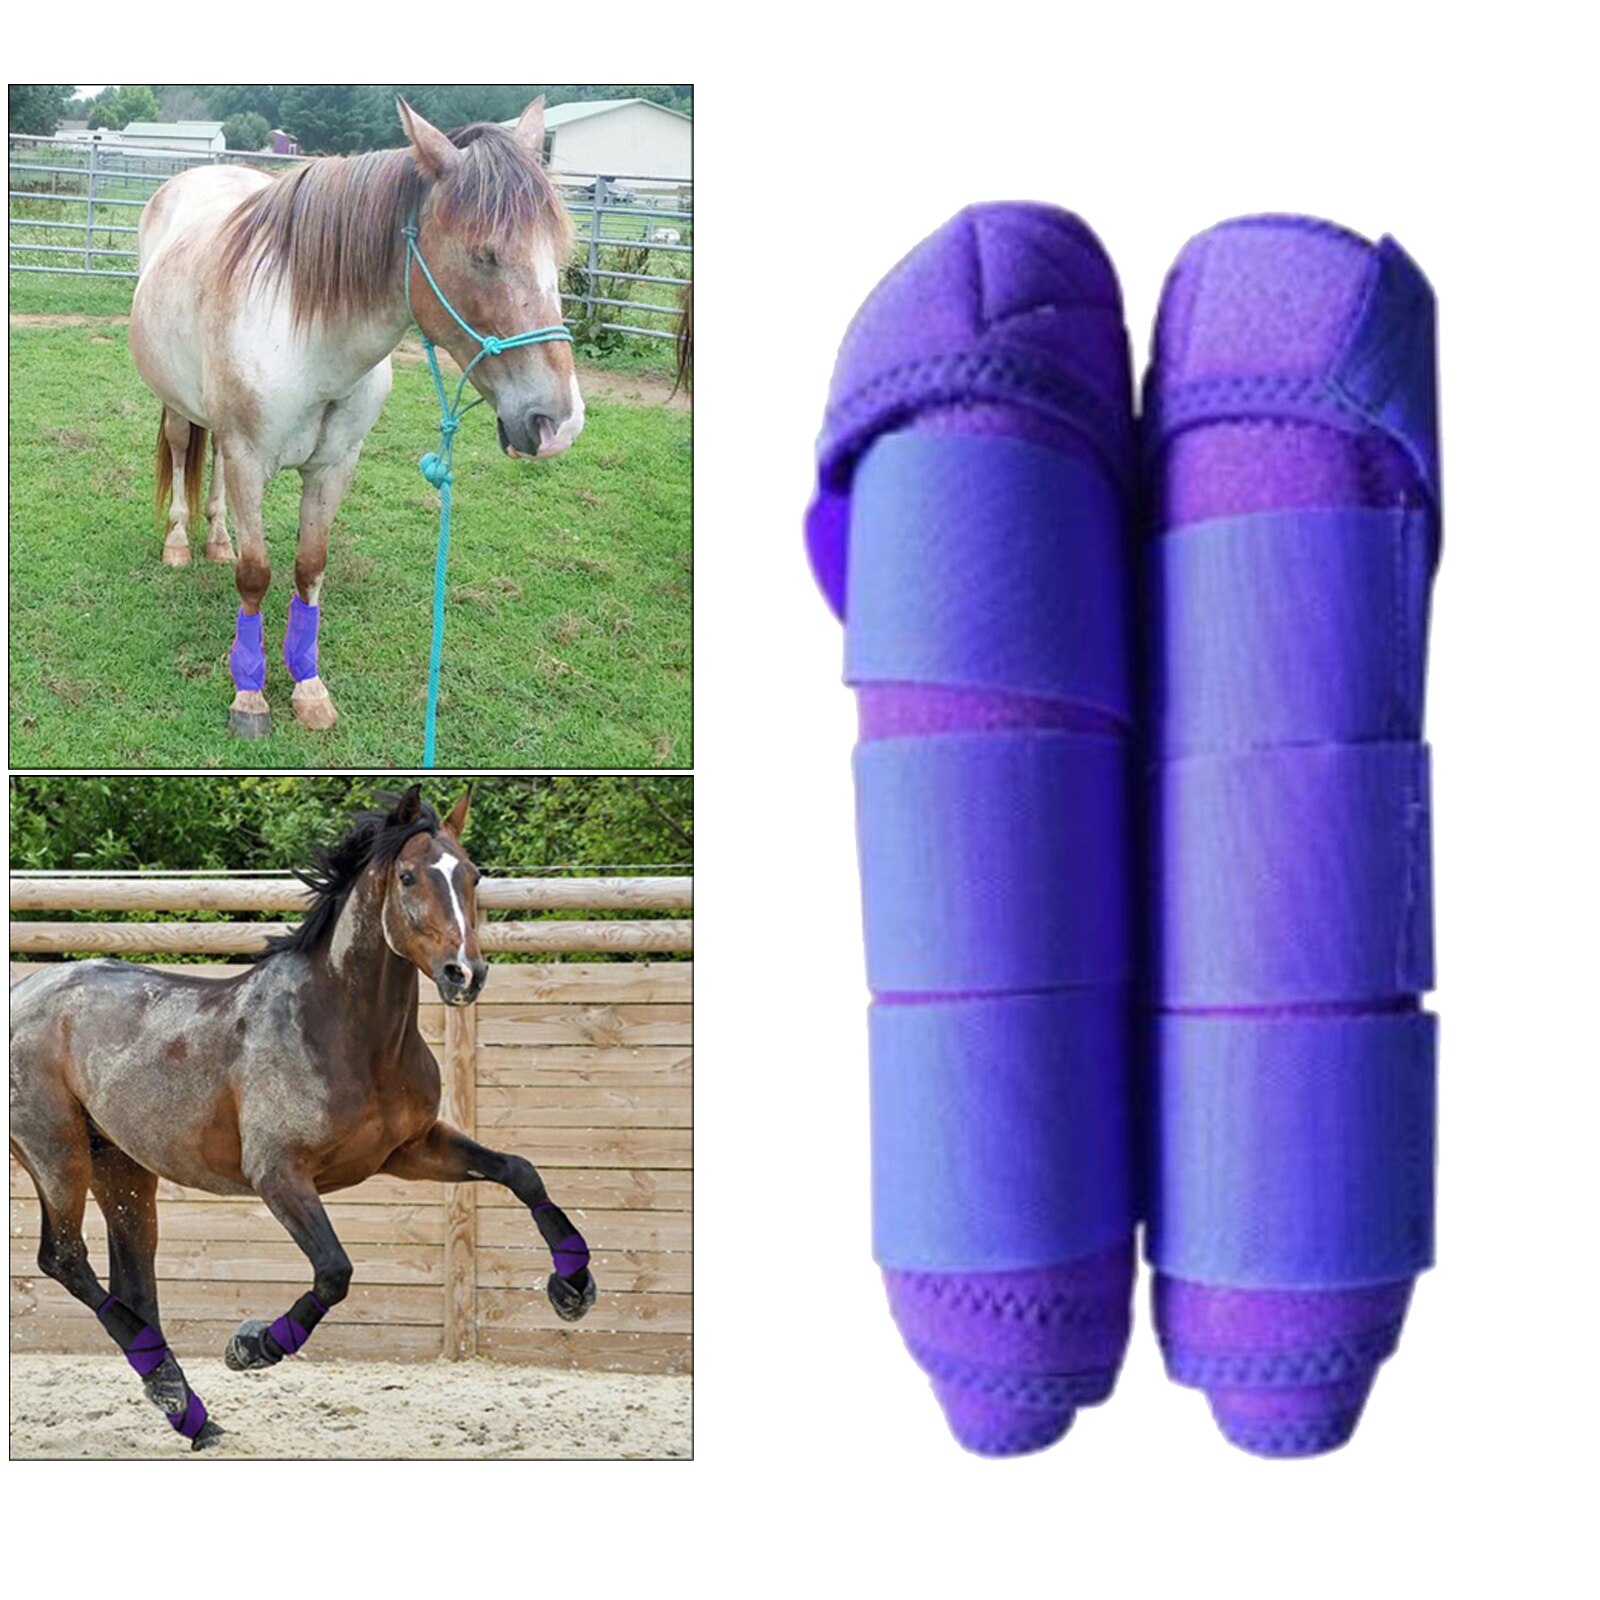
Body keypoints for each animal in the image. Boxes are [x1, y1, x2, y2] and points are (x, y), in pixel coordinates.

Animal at [9, 787, 596, 1451]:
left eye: (472, 875)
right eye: (409, 876)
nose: (465, 975)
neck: (349, 1034)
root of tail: (25, 992)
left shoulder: (413, 1149)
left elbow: (520, 1172)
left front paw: (573, 1289)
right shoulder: (279, 1175)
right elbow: (335, 1271)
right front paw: (252, 1345)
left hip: (124, 1166)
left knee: (133, 1280)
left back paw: (188, 1411)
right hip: (58, 1153)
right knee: (64, 1259)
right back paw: (180, 1394)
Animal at [130, 97, 583, 739]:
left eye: (558, 256)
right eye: (484, 254)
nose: (558, 423)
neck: (308, 340)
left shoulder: (335, 465)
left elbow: (309, 567)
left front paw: (308, 687)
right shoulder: (250, 458)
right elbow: (256, 573)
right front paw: (250, 695)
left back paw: (216, 540)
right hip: (174, 401)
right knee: (177, 446)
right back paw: (178, 544)